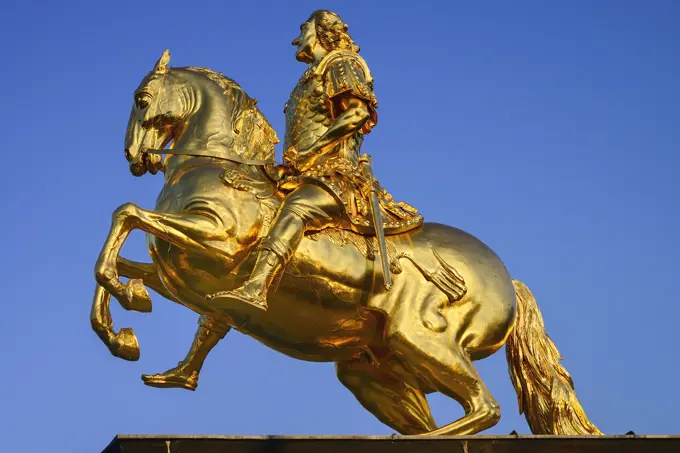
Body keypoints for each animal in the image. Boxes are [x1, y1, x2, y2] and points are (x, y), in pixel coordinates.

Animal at [90, 50, 600, 434]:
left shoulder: (219, 243)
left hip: (421, 339)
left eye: (141, 98)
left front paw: (128, 303)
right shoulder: (178, 275)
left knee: (483, 407)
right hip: (374, 370)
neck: (214, 165)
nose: (135, 158)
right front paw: (125, 327)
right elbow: (132, 277)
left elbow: (125, 214)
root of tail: (508, 282)